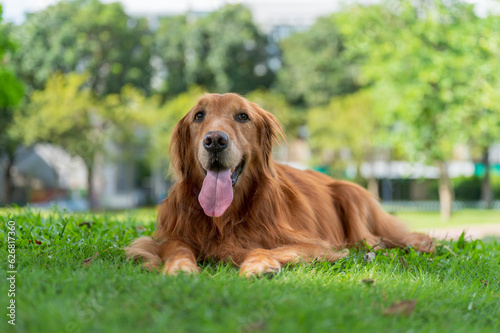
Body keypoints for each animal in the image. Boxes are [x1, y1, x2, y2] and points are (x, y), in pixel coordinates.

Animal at [126, 92, 434, 274]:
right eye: (198, 116)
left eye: (242, 116)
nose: (214, 140)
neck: (225, 219)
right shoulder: (166, 236)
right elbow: (175, 248)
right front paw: (179, 267)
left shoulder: (316, 245)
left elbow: (264, 248)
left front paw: (258, 264)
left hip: (352, 197)